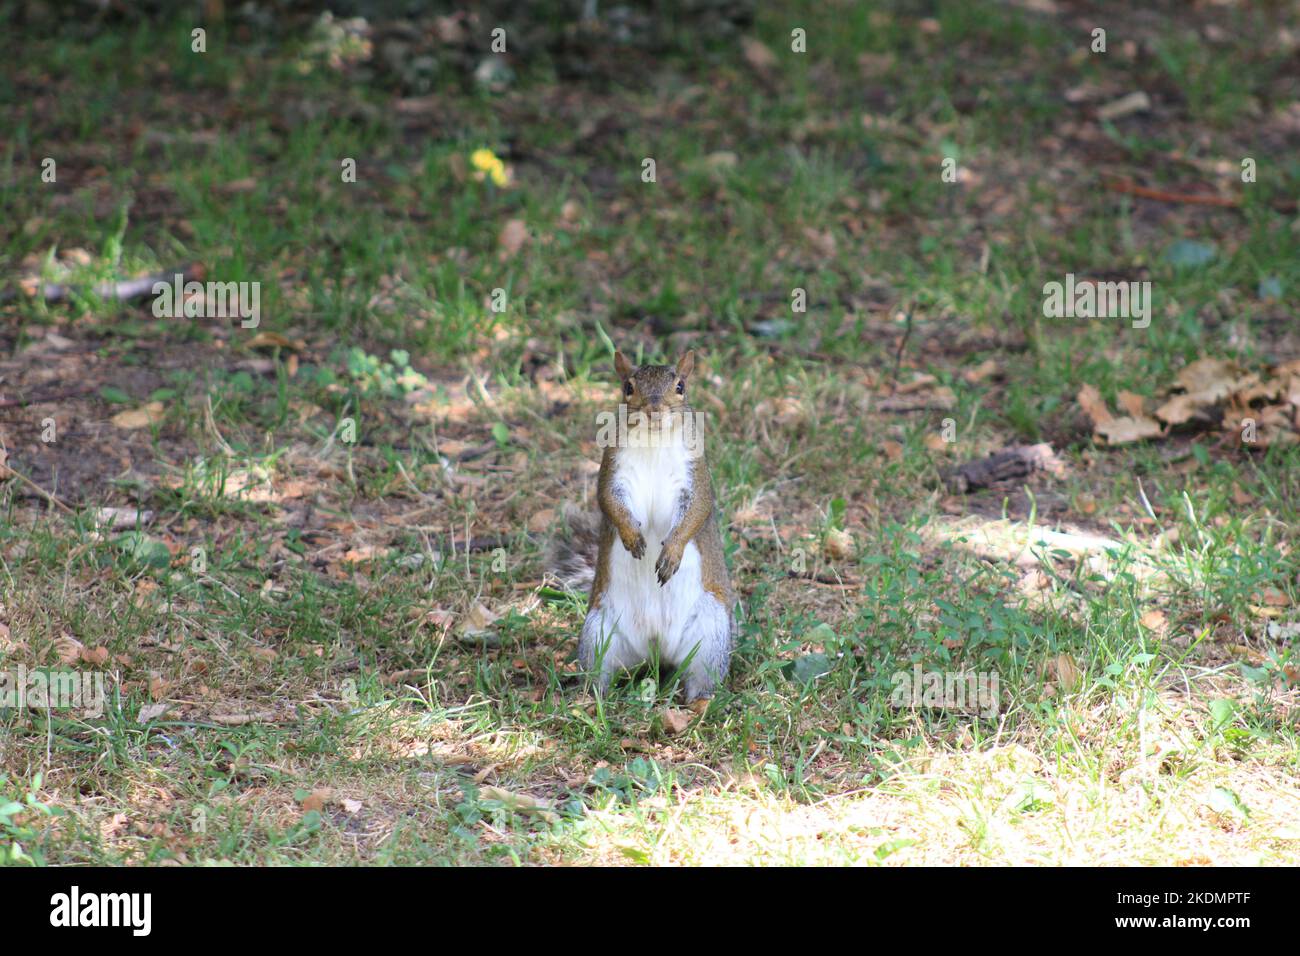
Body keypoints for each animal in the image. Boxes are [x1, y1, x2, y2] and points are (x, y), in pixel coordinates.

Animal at [548, 349, 735, 703]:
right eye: (628, 387)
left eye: (680, 386)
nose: (654, 409)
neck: (654, 440)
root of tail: (656, 648)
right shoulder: (613, 468)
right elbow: (610, 501)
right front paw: (632, 536)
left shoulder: (695, 476)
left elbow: (695, 511)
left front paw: (671, 553)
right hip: (598, 632)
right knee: (600, 673)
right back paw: (590, 698)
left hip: (711, 633)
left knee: (702, 678)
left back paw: (700, 704)